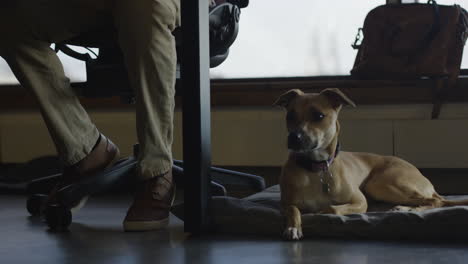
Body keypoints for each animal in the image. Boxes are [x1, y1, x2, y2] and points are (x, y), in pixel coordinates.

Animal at [274, 89, 468, 241]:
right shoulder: (285, 203)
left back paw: (406, 208)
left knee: (436, 201)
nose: (294, 137)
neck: (317, 168)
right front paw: (293, 228)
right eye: (290, 116)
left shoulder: (359, 201)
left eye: (319, 116)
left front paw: (319, 213)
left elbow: (332, 208)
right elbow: (293, 210)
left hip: (381, 184)